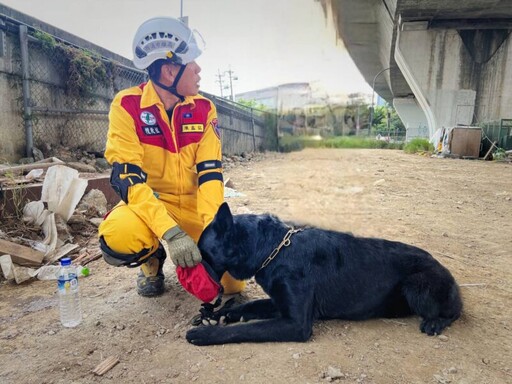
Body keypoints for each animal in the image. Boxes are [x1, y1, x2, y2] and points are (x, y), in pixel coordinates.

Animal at [186, 204, 462, 344]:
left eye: (200, 253)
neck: (274, 248)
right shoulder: (280, 304)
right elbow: (249, 307)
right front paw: (219, 315)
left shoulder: (296, 323)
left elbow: (244, 330)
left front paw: (205, 334)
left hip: (417, 285)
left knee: (455, 312)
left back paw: (436, 322)